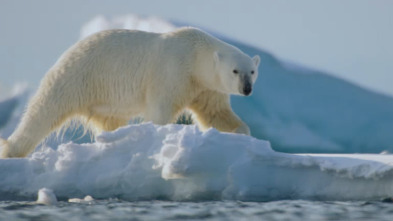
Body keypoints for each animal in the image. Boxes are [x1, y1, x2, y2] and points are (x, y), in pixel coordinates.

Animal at [0, 27, 260, 158]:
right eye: (235, 71)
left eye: (252, 71)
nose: (246, 89)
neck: (195, 55)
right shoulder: (172, 71)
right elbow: (161, 110)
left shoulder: (205, 87)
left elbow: (215, 113)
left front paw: (241, 133)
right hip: (77, 77)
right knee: (44, 111)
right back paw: (12, 150)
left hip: (104, 99)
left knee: (109, 121)